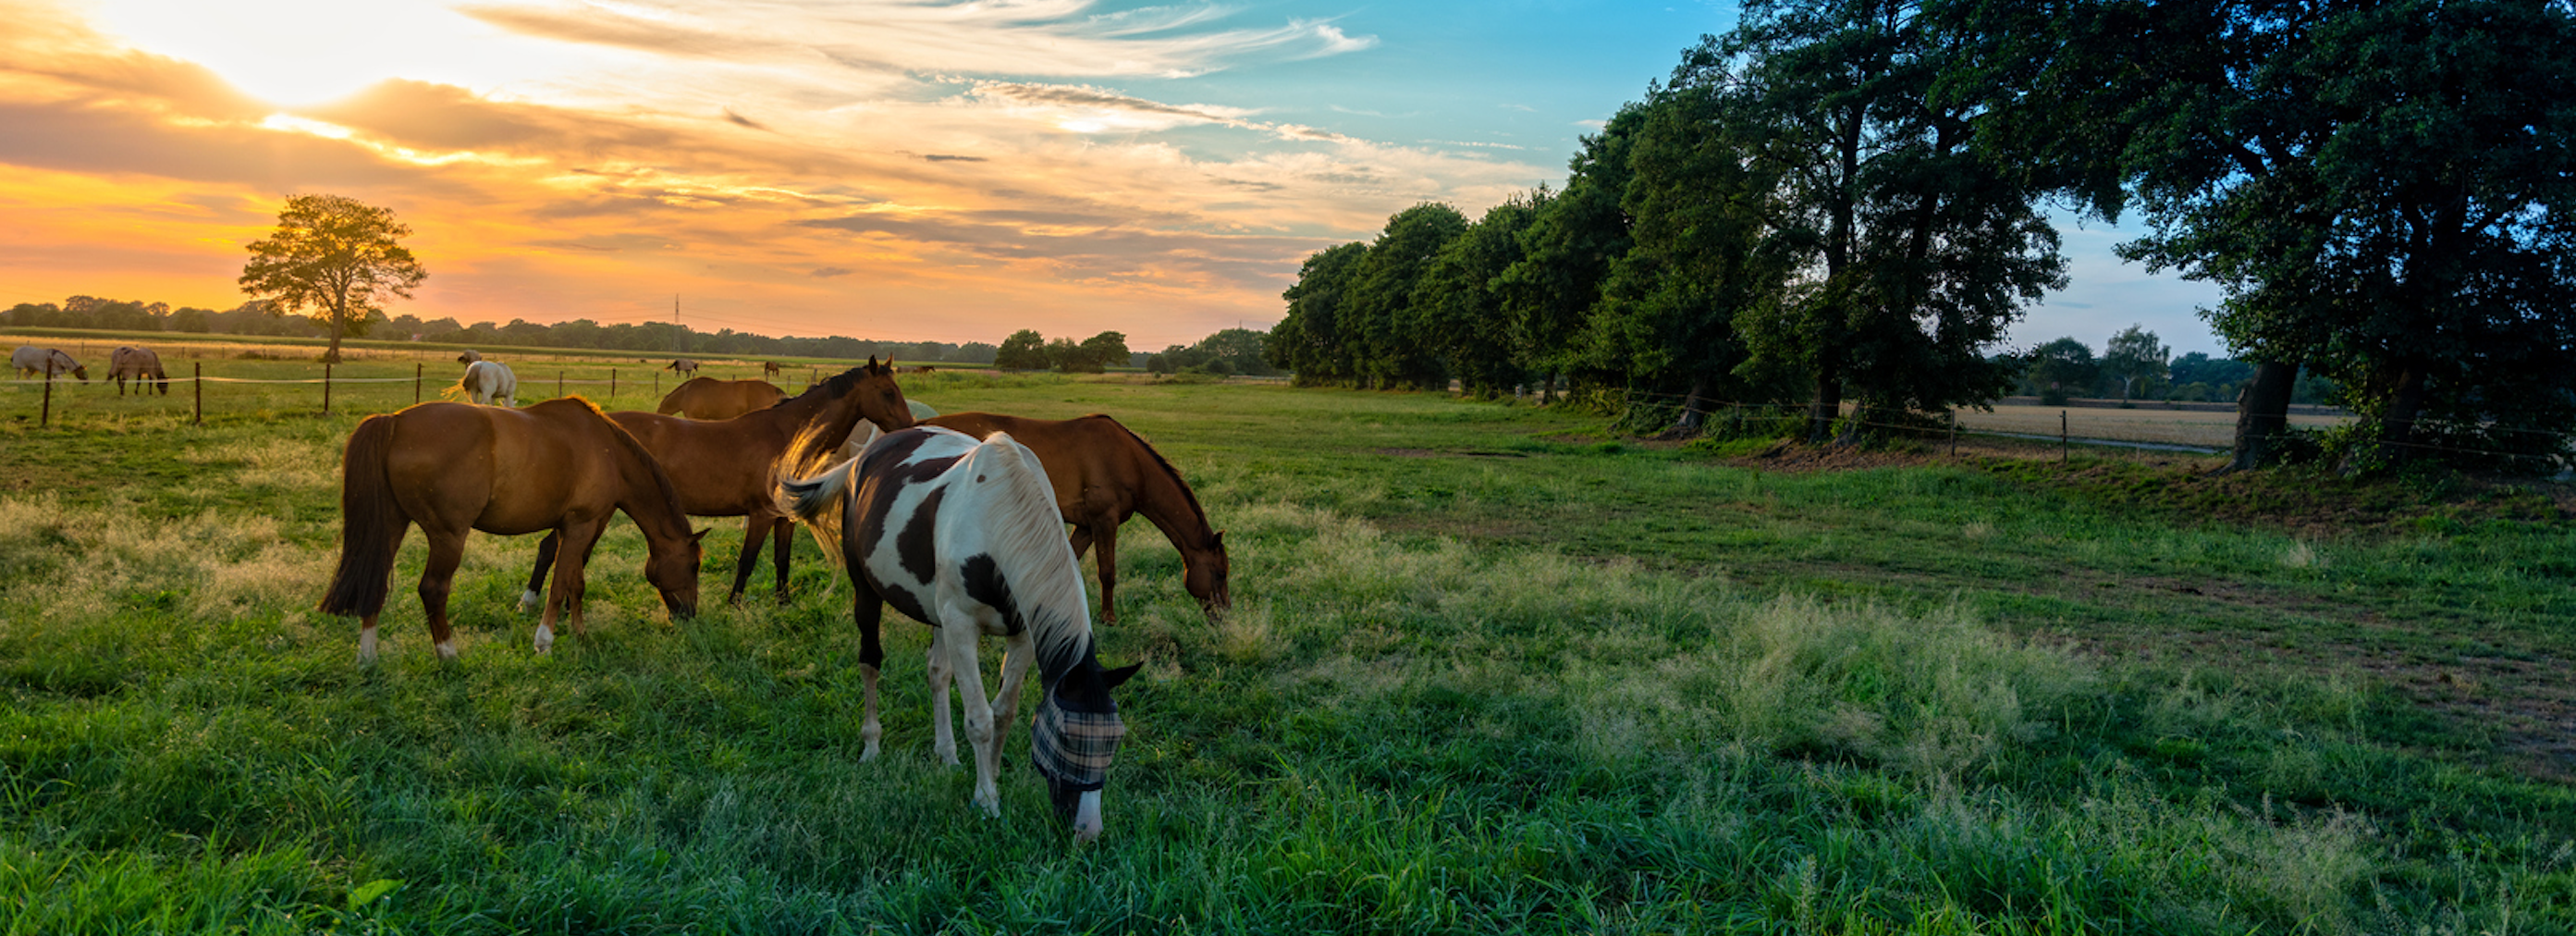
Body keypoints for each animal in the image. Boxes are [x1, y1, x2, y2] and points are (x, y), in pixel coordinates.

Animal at [318, 398, 706, 663]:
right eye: (694, 566)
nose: (689, 616)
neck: (607, 451)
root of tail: (396, 422)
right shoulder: (581, 525)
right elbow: (560, 585)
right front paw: (544, 642)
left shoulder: (571, 527)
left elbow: (575, 582)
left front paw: (580, 634)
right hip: (448, 536)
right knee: (433, 590)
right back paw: (448, 654)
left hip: (392, 526)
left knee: (375, 581)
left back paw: (368, 658)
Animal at [780, 425, 1140, 841]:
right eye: (1066, 736)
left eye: (1115, 739)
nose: (1088, 830)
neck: (998, 518)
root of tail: (864, 456)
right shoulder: (961, 625)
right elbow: (980, 719)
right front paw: (986, 800)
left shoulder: (1023, 634)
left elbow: (1003, 711)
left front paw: (993, 775)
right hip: (866, 591)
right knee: (870, 663)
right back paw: (871, 747)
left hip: (937, 616)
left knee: (938, 673)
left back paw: (947, 754)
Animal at [926, 413, 1229, 623]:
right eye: (1220, 573)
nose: (1225, 614)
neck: (1129, 461)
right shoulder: (1104, 521)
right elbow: (1107, 572)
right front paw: (1109, 619)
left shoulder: (1085, 526)